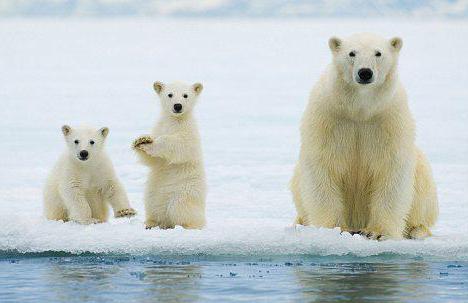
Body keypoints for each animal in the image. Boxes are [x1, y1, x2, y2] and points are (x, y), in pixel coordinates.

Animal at [132, 81, 205, 230]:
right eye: (170, 94)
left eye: (185, 95)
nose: (177, 106)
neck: (174, 120)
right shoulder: (159, 127)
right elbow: (153, 161)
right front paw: (141, 141)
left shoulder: (189, 130)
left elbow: (181, 144)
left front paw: (151, 144)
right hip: (153, 191)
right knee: (152, 204)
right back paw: (150, 223)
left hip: (185, 190)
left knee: (180, 207)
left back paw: (187, 225)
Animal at [290, 33, 440, 241]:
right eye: (351, 53)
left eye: (378, 53)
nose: (365, 72)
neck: (360, 110)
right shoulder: (329, 118)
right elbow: (323, 167)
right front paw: (335, 229)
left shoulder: (388, 120)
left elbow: (390, 170)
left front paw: (376, 232)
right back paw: (300, 223)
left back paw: (417, 230)